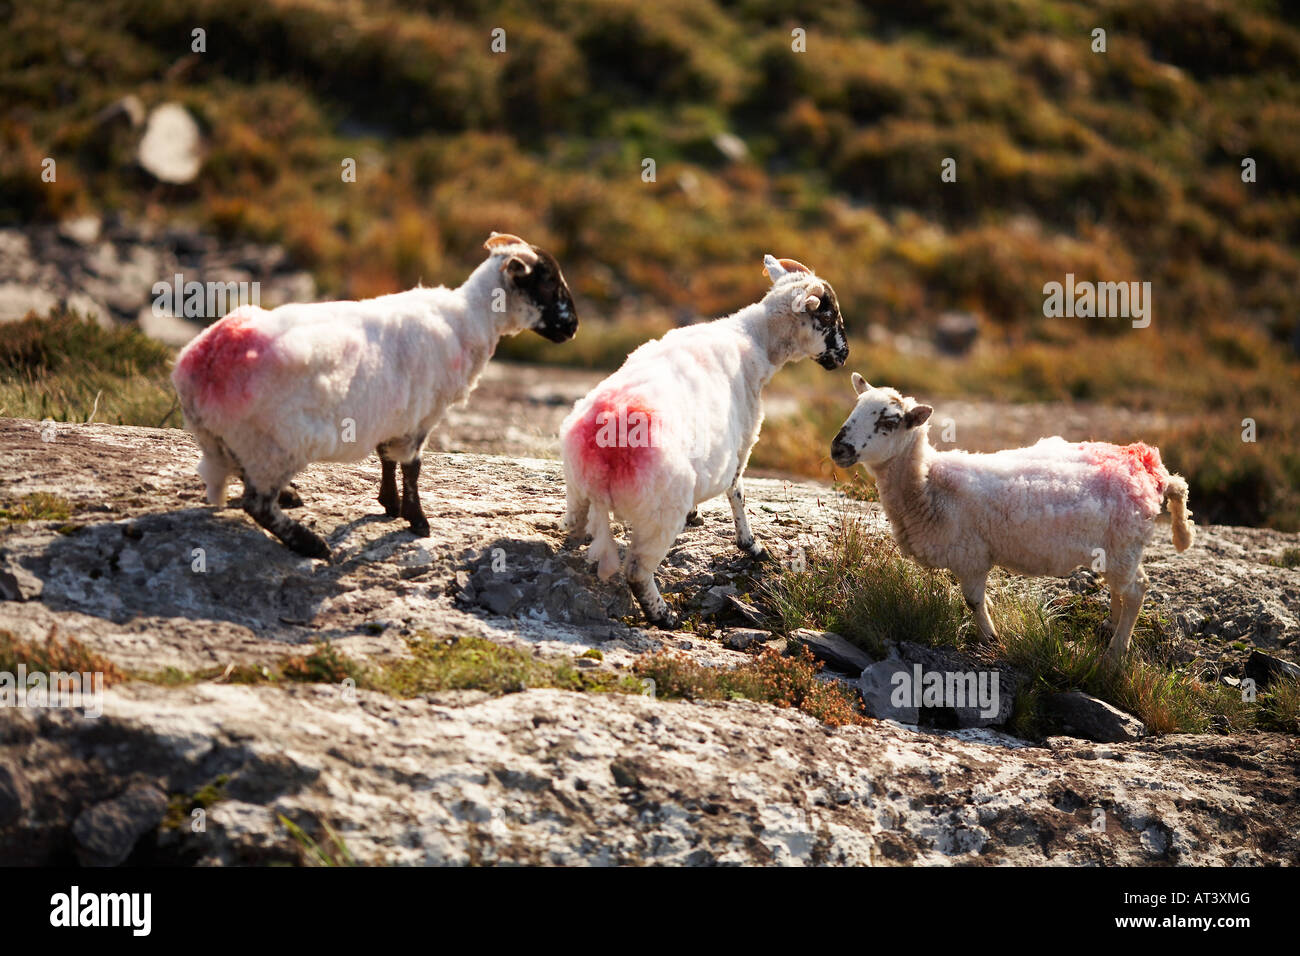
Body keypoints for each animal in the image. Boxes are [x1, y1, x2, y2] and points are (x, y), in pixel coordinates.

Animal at [172, 234, 579, 561]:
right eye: (550, 284)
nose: (573, 327)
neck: (472, 319)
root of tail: (201, 363)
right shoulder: (421, 417)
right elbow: (412, 468)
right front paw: (417, 521)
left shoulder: (395, 411)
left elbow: (386, 457)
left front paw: (390, 504)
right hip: (278, 443)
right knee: (256, 504)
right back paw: (310, 544)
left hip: (236, 441)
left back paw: (289, 498)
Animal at [561, 254, 847, 629]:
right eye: (829, 316)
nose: (844, 355)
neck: (755, 337)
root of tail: (605, 442)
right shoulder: (743, 444)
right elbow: (737, 494)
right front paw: (751, 546)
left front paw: (698, 516)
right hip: (659, 512)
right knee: (637, 571)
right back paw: (663, 616)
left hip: (577, 490)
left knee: (573, 527)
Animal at [832, 374, 1196, 665]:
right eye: (854, 410)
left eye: (888, 422)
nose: (838, 449)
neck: (928, 484)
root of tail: (1148, 467)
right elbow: (980, 600)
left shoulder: (971, 557)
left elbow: (973, 601)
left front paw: (990, 639)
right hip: (1119, 550)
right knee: (1126, 586)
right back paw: (1110, 625)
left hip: (1123, 545)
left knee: (1136, 589)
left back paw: (1115, 653)